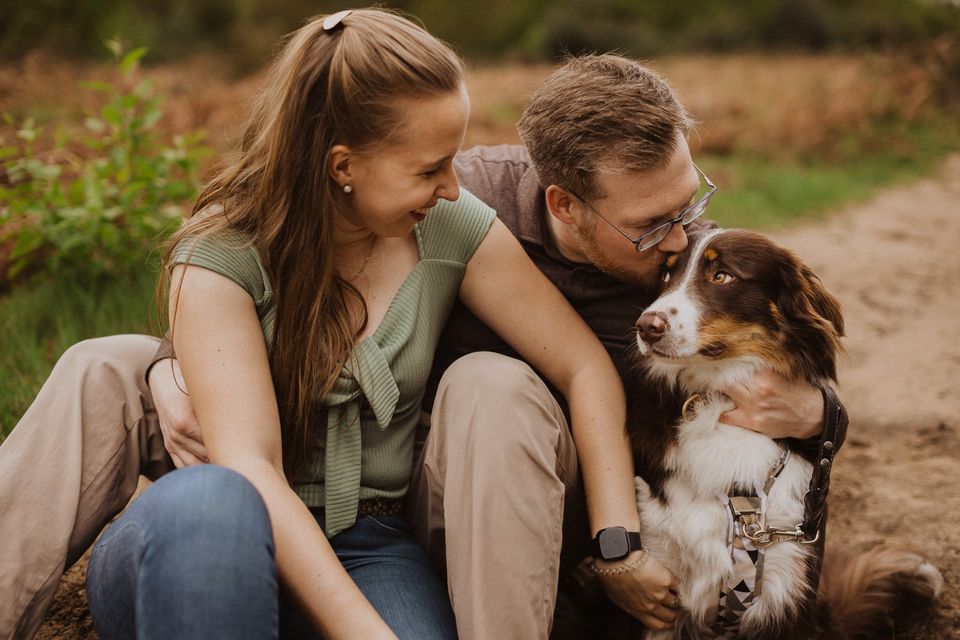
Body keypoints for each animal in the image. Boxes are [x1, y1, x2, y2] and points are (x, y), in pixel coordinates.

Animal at [624, 230, 944, 640]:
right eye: (666, 275)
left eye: (722, 276)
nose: (646, 326)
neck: (723, 404)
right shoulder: (661, 581)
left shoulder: (785, 578)